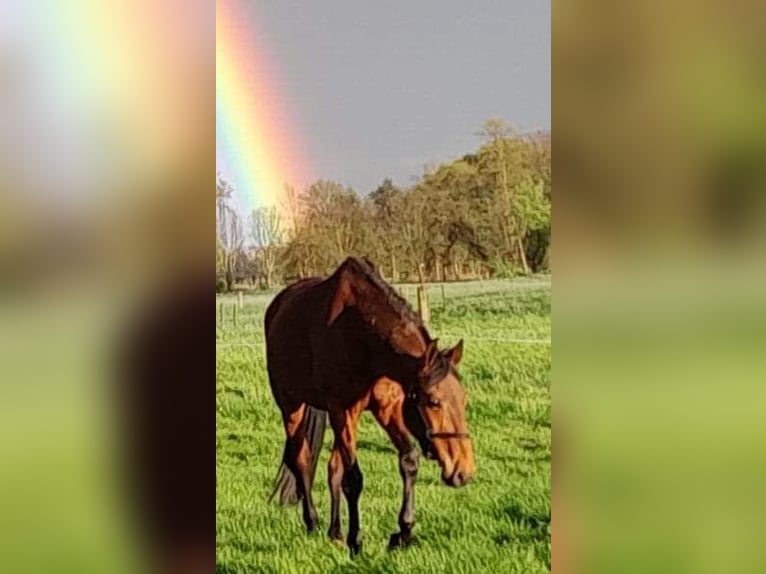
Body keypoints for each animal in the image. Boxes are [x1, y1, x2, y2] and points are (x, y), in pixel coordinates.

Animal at [268, 258, 476, 560]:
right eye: (434, 402)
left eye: (464, 399)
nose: (463, 471)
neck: (359, 332)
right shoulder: (342, 410)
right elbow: (354, 479)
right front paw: (357, 542)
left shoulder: (387, 408)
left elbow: (408, 461)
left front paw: (402, 533)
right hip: (291, 405)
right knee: (302, 460)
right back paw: (313, 523)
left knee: (332, 467)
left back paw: (335, 533)